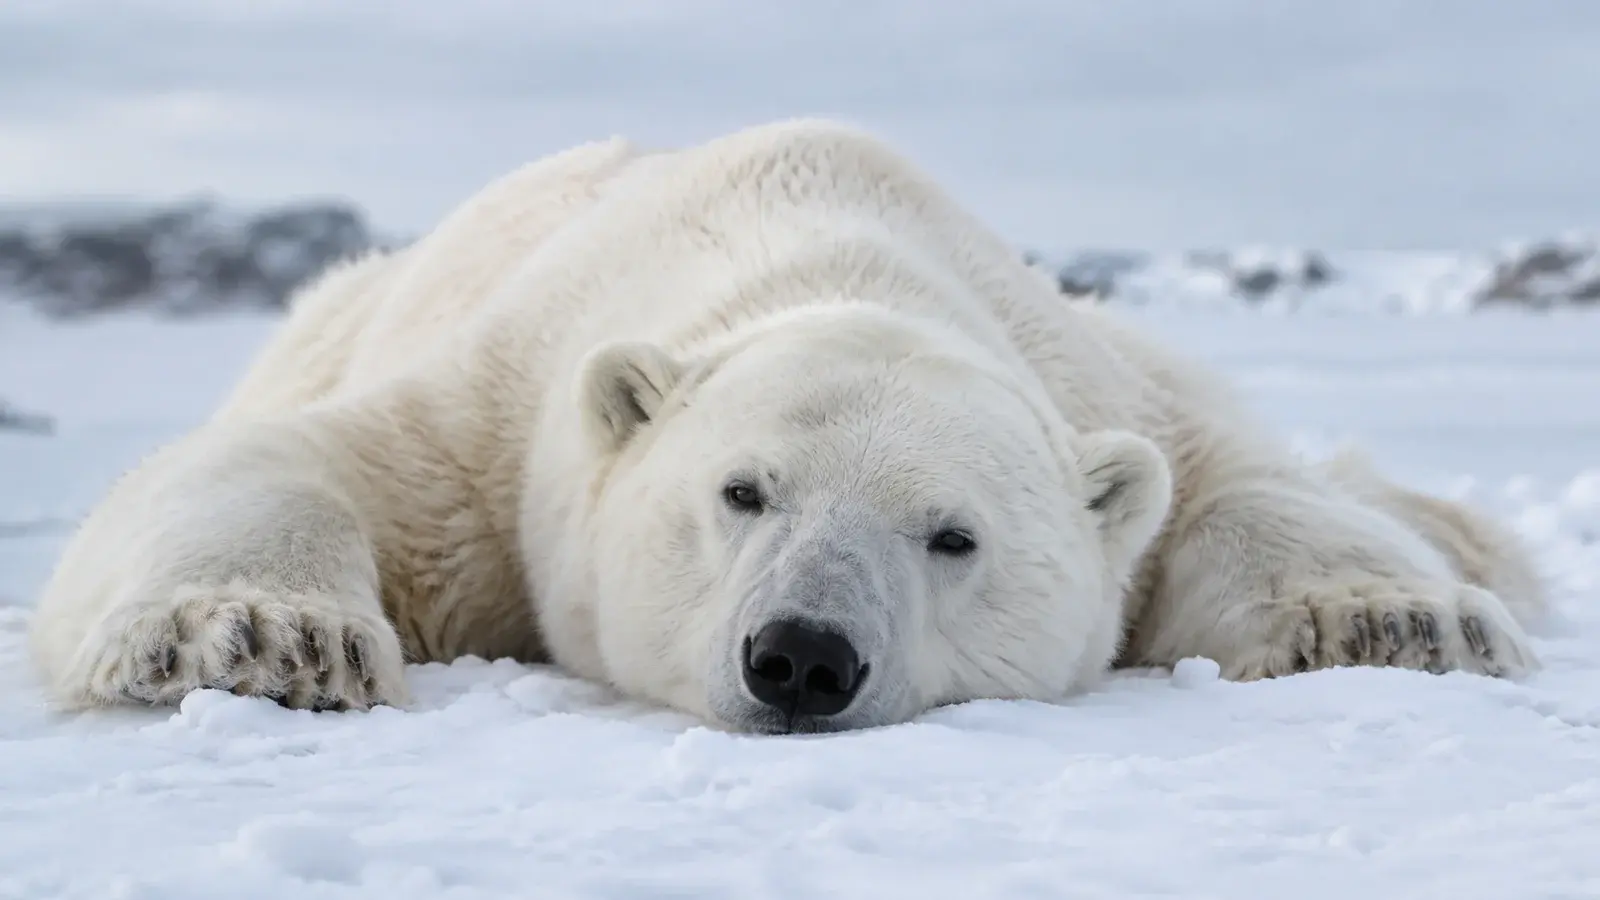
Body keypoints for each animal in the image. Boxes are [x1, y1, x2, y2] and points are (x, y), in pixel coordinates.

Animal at [27, 119, 1546, 733]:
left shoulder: (1108, 392)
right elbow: (302, 463)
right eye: (741, 491)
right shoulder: (500, 416)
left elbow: (1234, 492)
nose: (802, 657)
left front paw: (1398, 623)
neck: (819, 227)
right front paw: (260, 639)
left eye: (952, 536)